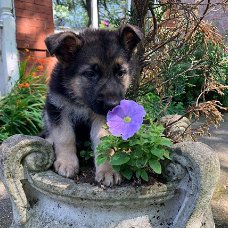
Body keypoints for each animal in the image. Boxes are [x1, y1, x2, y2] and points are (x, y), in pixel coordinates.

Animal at [42, 25, 142, 186]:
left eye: (120, 73)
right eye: (90, 74)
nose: (113, 105)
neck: (81, 101)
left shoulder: (101, 117)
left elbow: (104, 143)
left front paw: (108, 170)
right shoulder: (57, 108)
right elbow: (64, 137)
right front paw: (67, 163)